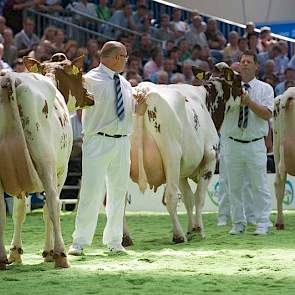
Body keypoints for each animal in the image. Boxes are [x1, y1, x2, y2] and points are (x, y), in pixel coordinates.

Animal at [0, 55, 94, 270]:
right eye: (81, 74)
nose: (91, 96)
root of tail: (11, 78)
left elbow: (18, 211)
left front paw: (15, 252)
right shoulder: (62, 170)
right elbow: (46, 210)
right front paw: (48, 252)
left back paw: (0, 258)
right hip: (46, 162)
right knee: (53, 203)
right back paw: (61, 255)